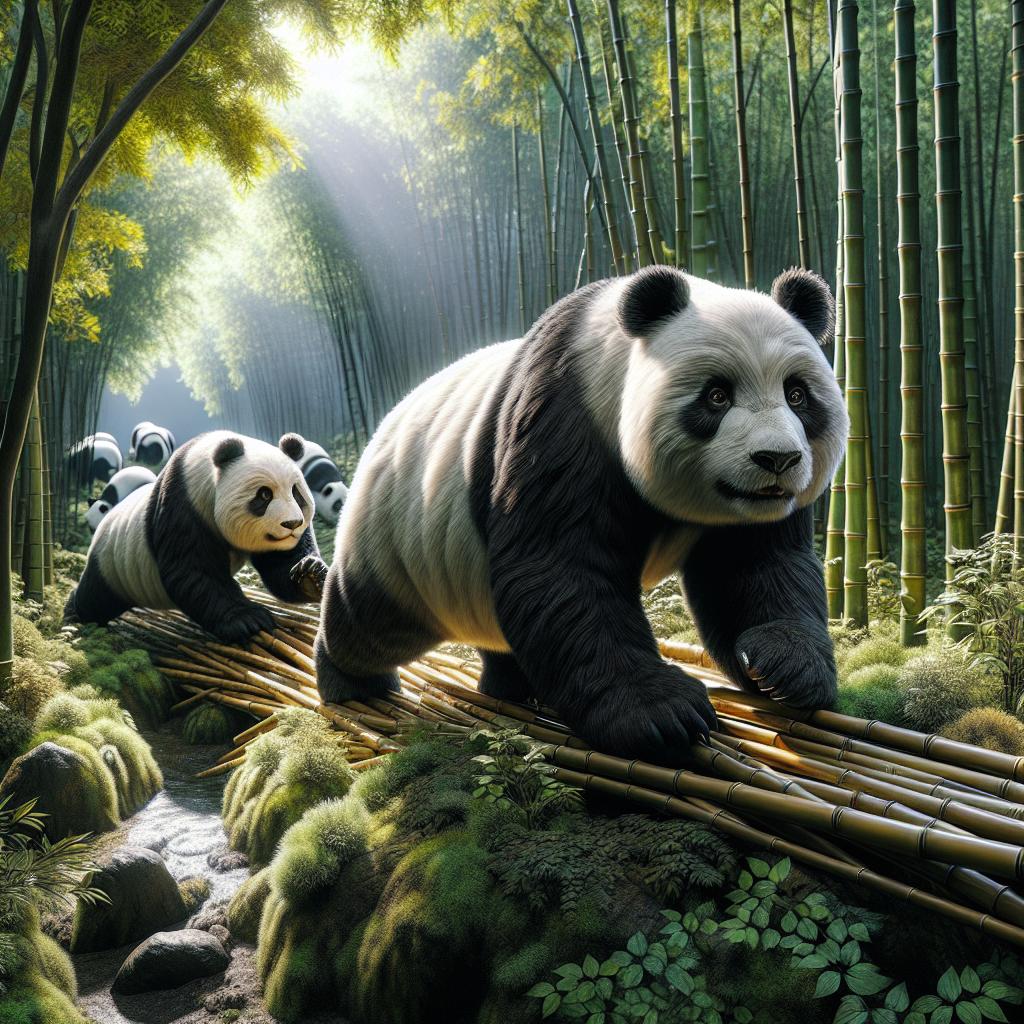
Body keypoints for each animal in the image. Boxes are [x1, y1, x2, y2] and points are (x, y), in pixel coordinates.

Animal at [66, 431, 328, 643]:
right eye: (264, 495)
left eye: (296, 493)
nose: (292, 524)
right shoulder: (183, 505)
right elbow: (192, 570)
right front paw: (249, 619)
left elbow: (281, 564)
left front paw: (310, 574)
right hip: (113, 563)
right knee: (96, 598)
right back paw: (72, 614)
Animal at [314, 266, 848, 764]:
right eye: (717, 395)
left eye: (797, 395)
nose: (777, 459)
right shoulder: (564, 417)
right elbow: (562, 569)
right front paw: (662, 712)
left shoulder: (743, 512)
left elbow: (755, 568)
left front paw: (784, 667)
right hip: (398, 541)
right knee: (371, 622)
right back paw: (350, 683)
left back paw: (511, 685)